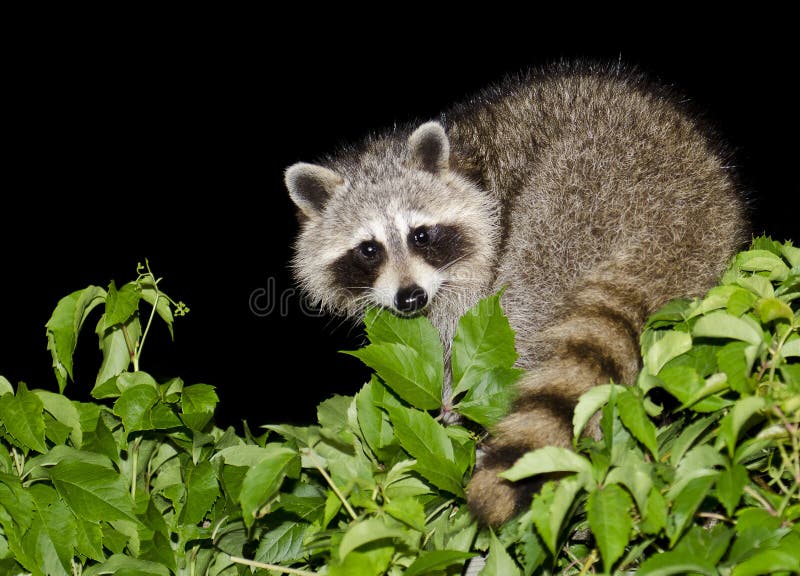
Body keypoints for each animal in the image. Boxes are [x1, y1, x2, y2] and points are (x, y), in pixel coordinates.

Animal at [282, 63, 752, 528]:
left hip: (578, 191)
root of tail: (677, 217)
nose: (410, 299)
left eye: (421, 235)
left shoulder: (478, 262)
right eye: (369, 249)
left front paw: (453, 402)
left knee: (526, 297)